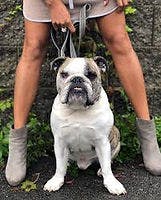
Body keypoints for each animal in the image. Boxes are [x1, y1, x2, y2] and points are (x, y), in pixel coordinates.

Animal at [43, 57, 126, 195]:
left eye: (91, 75)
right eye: (64, 74)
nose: (77, 79)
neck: (78, 108)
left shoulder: (102, 142)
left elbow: (107, 166)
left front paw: (112, 184)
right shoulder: (60, 141)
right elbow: (59, 166)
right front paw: (56, 181)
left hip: (116, 136)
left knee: (108, 161)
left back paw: (101, 170)